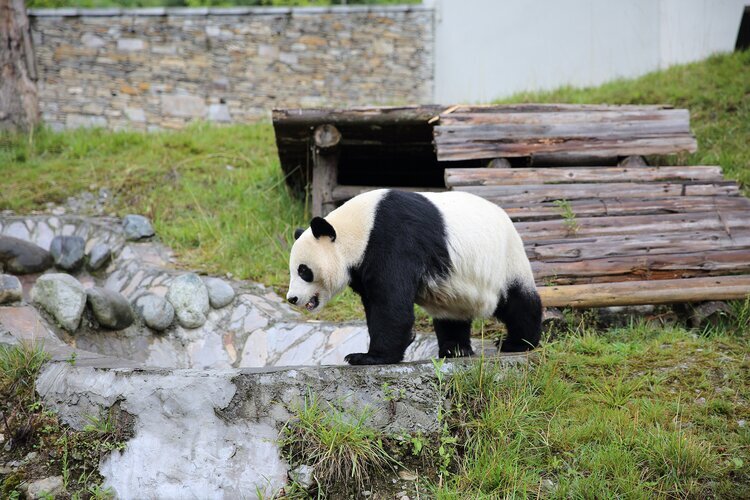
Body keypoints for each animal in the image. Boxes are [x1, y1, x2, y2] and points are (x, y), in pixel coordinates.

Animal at [287, 189, 542, 365]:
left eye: (303, 270)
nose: (292, 298)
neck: (360, 226)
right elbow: (375, 301)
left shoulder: (393, 239)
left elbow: (390, 304)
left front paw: (367, 357)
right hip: (456, 285)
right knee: (452, 315)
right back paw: (455, 349)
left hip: (505, 261)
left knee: (518, 302)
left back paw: (518, 342)